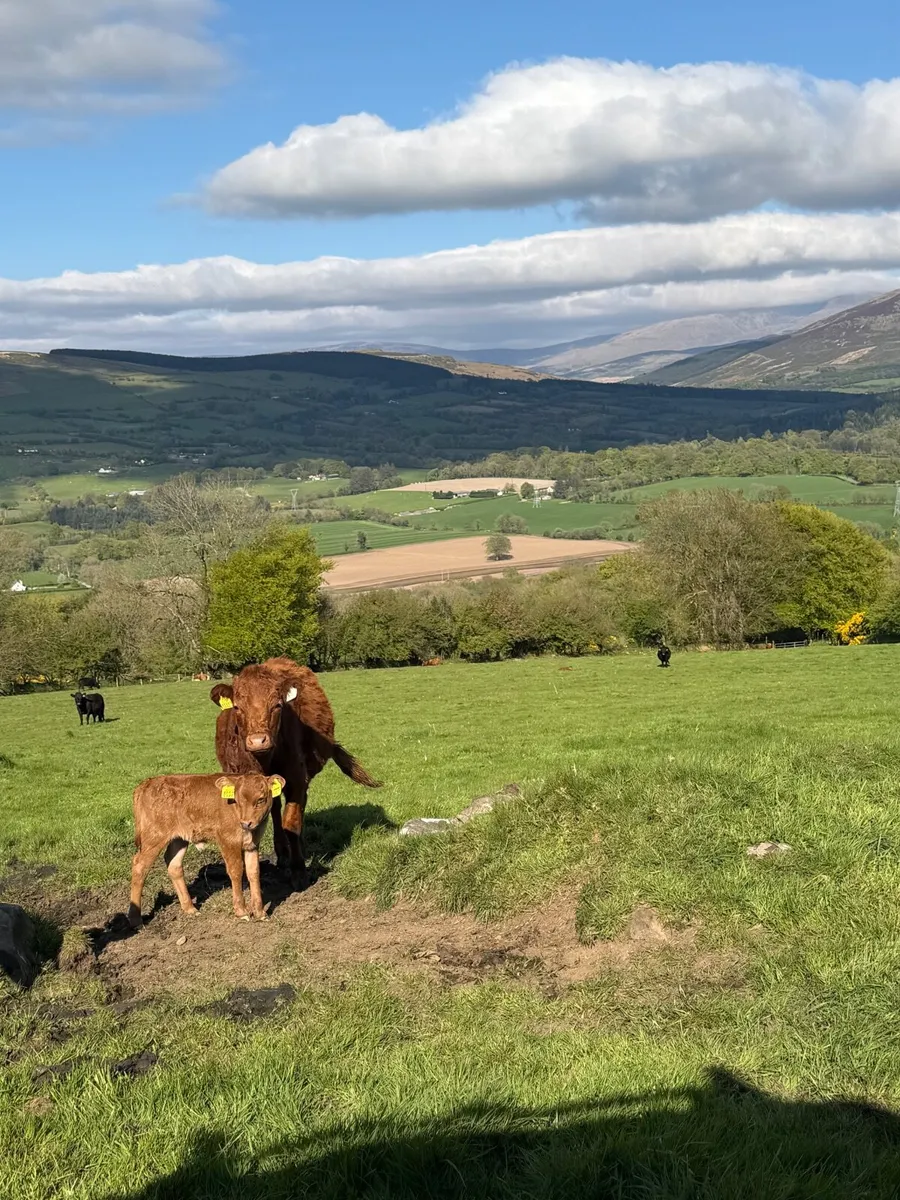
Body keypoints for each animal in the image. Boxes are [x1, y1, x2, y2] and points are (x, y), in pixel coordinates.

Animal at [127, 772, 285, 928]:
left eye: (260, 799)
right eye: (236, 800)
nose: (246, 823)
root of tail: (147, 783)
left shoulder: (253, 845)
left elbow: (254, 872)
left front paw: (260, 913)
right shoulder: (228, 840)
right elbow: (236, 871)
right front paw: (242, 912)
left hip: (179, 839)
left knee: (173, 864)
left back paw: (190, 909)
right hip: (154, 836)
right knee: (139, 866)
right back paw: (135, 920)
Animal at [210, 657, 381, 889]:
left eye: (277, 705)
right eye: (237, 707)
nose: (257, 741)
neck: (264, 760)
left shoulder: (296, 780)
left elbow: (291, 823)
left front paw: (299, 872)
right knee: (274, 809)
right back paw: (282, 853)